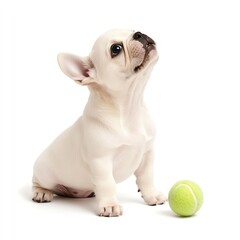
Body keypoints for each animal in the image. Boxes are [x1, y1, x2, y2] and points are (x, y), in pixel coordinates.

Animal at [31, 29, 166, 217]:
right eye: (115, 49)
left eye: (133, 31)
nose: (139, 34)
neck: (129, 108)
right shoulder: (101, 161)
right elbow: (107, 183)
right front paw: (109, 205)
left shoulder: (147, 153)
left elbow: (147, 177)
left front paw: (151, 195)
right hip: (44, 174)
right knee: (38, 182)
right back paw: (41, 192)